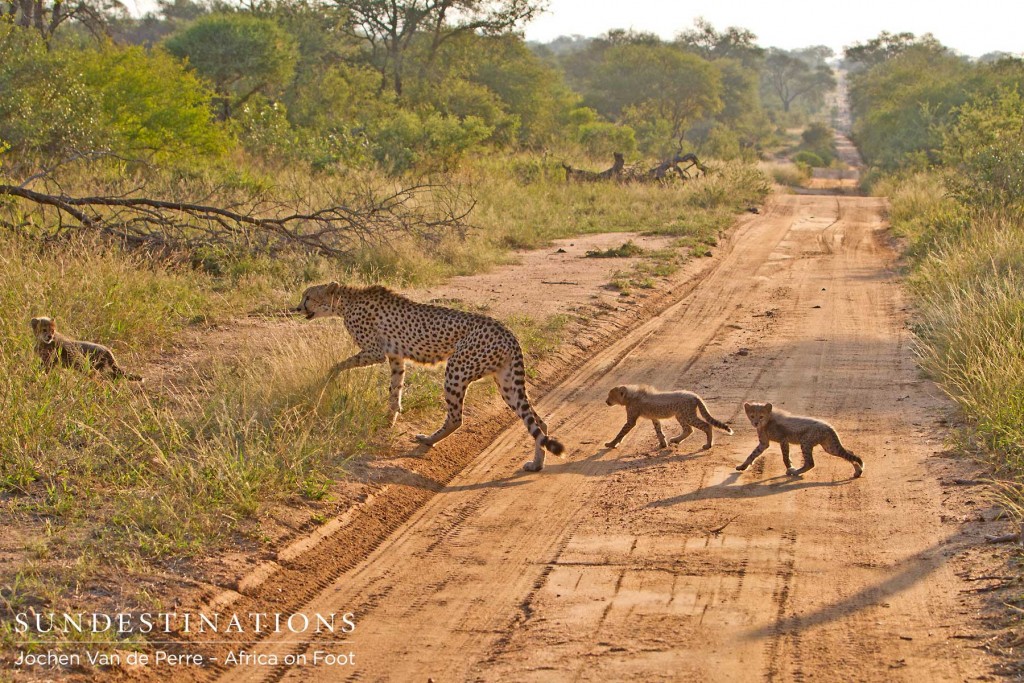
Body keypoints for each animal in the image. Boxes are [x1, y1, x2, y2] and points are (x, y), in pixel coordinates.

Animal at [296, 282, 565, 471]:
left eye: (308, 296)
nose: (297, 308)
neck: (345, 301)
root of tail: (508, 332)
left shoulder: (375, 352)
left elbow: (339, 365)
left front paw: (328, 379)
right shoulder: (396, 357)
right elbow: (395, 388)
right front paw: (390, 419)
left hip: (457, 369)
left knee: (456, 418)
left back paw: (427, 439)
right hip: (506, 381)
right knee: (538, 422)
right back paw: (536, 464)